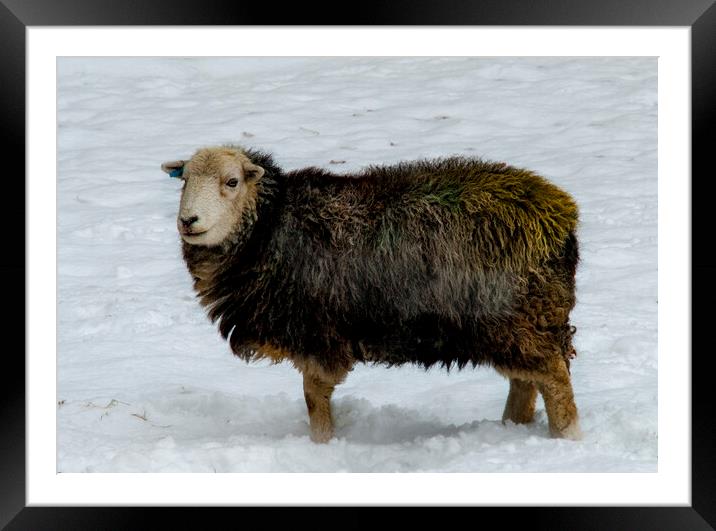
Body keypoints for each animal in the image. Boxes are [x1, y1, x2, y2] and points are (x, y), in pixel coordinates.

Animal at [161, 145, 580, 444]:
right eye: (184, 180)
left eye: (232, 182)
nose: (188, 221)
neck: (269, 226)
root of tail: (559, 215)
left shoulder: (319, 333)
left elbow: (313, 395)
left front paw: (323, 445)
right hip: (518, 323)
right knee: (525, 380)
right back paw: (512, 427)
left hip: (517, 316)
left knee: (553, 379)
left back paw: (568, 437)